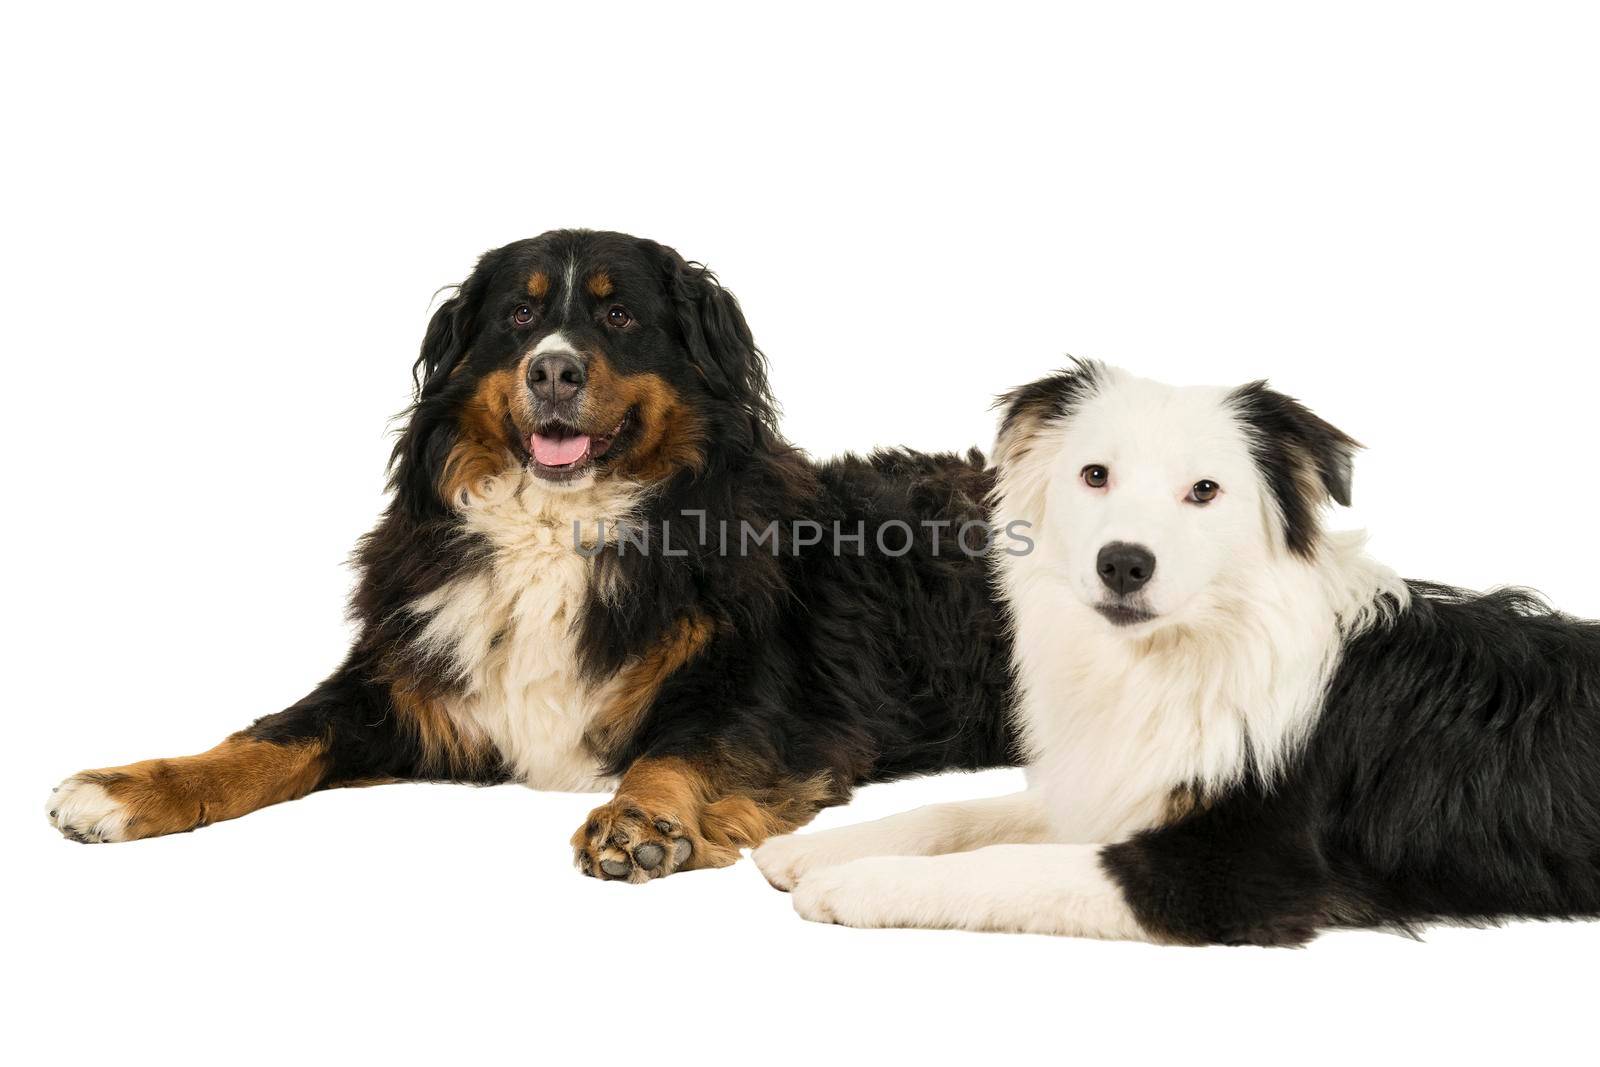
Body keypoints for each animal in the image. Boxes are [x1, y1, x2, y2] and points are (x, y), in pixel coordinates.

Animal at [53, 230, 1024, 883]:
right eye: (518, 315)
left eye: (621, 314)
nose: (553, 370)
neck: (559, 528)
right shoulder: (403, 678)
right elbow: (271, 736)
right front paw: (127, 787)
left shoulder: (764, 700)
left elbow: (682, 751)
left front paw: (638, 821)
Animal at [755, 363, 1600, 947]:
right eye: (1095, 474)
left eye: (1205, 490)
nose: (1124, 563)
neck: (1186, 653)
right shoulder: (1124, 780)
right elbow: (960, 811)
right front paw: (819, 848)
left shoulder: (1238, 871)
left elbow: (1003, 865)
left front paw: (855, 881)